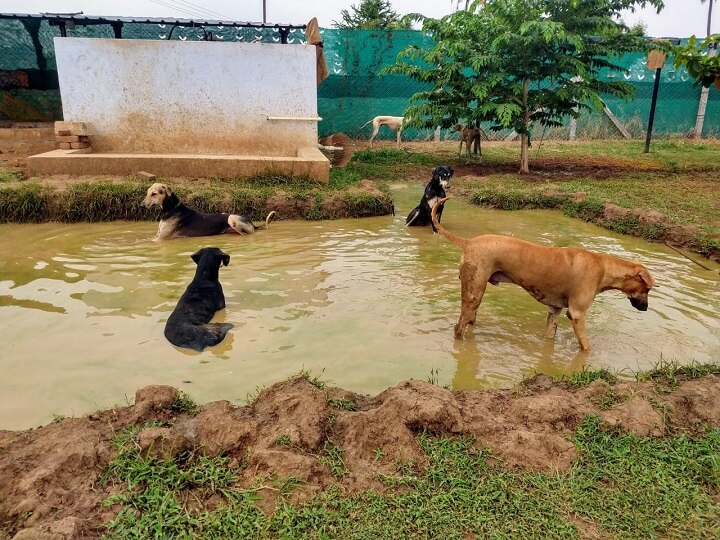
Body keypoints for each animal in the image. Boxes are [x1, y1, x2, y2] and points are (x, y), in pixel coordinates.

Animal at [430, 197, 656, 350]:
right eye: (648, 289)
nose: (645, 309)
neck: (603, 267)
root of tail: (468, 242)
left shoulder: (555, 311)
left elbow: (550, 336)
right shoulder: (577, 314)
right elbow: (586, 346)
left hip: (475, 295)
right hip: (473, 294)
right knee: (458, 328)